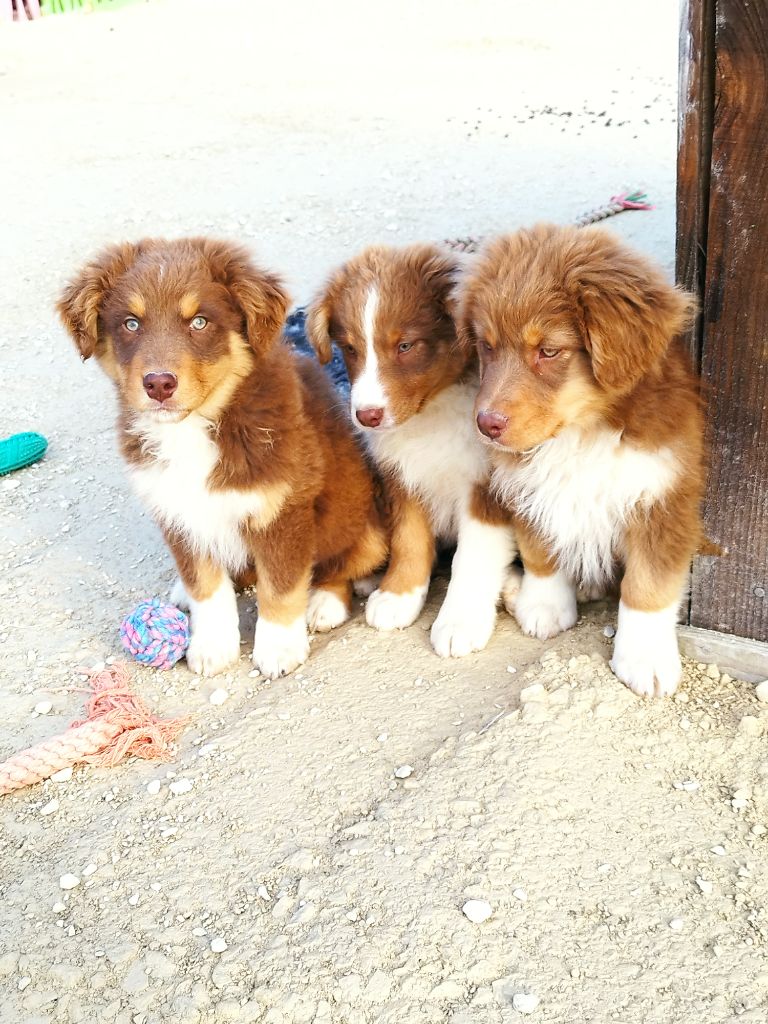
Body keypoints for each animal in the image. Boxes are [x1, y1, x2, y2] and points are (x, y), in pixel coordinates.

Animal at [58, 239, 391, 679]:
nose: (159, 384)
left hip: (360, 518)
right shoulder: (179, 514)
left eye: (199, 322)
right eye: (131, 324)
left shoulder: (282, 510)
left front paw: (279, 648)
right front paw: (213, 646)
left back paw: (324, 603)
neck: (197, 426)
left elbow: (282, 586)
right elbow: (206, 587)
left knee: (339, 564)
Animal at [307, 242, 518, 655]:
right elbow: (409, 540)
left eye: (405, 345)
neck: (429, 416)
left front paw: (459, 621)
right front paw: (399, 595)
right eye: (351, 349)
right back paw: (329, 597)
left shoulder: (484, 486)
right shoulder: (400, 477)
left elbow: (472, 556)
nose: (367, 415)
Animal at [460, 224, 708, 696]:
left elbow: (648, 585)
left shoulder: (663, 498)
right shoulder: (528, 488)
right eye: (487, 346)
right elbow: (540, 550)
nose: (486, 424)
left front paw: (644, 659)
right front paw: (544, 605)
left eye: (549, 351)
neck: (582, 432)